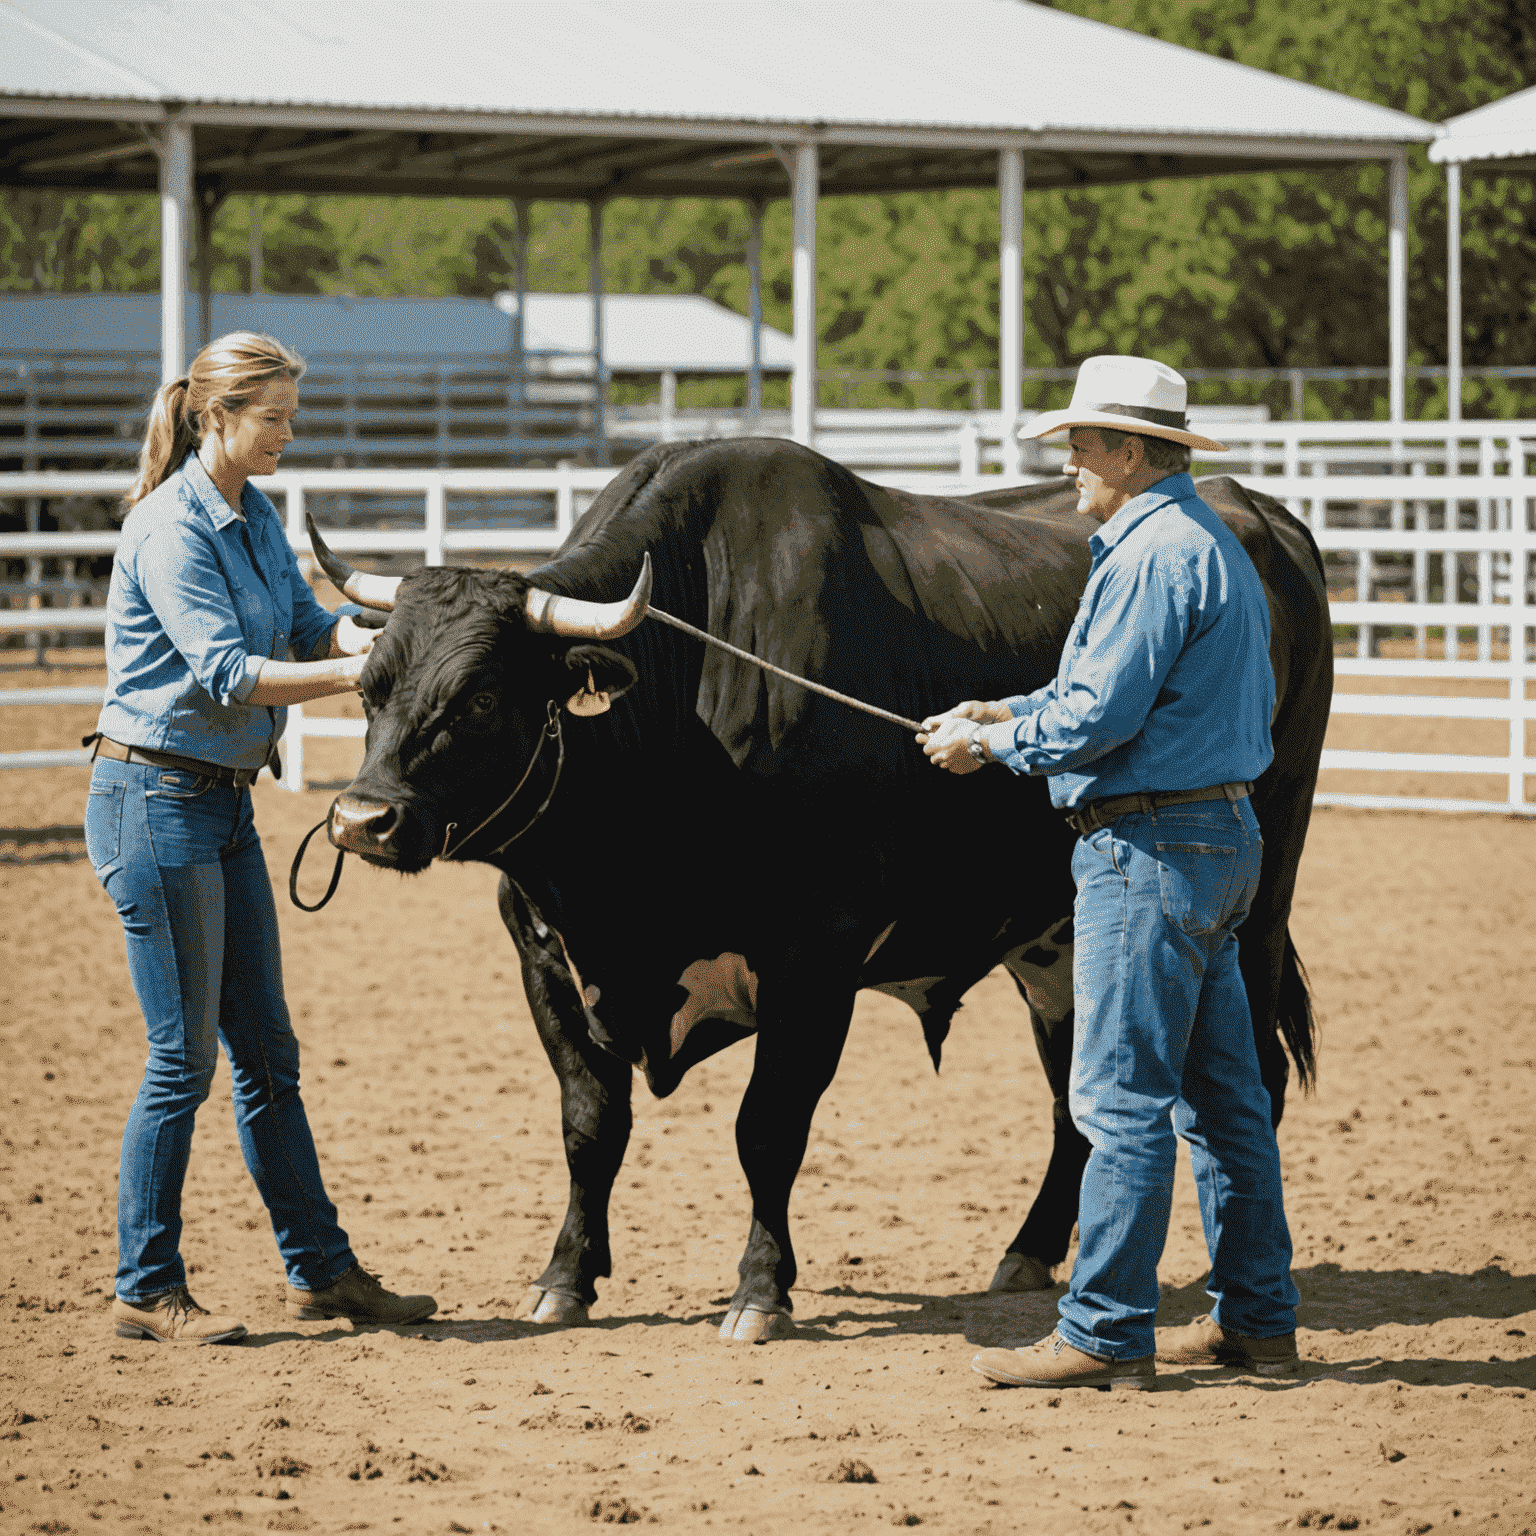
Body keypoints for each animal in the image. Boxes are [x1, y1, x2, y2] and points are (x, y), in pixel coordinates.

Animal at [324, 436, 1333, 1345]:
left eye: (481, 698)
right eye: (370, 688)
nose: (361, 818)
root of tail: (1257, 509)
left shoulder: (814, 958)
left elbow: (767, 1129)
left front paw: (760, 1291)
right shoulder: (546, 956)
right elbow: (589, 1127)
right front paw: (564, 1279)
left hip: (1256, 906)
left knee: (1252, 1084)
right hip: (1056, 944)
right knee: (1073, 1100)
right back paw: (1030, 1252)